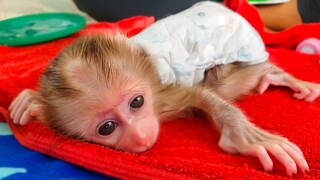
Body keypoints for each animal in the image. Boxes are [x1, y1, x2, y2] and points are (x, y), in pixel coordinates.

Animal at [7, 0, 320, 177]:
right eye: (107, 127)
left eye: (137, 102)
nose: (142, 135)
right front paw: (32, 101)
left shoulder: (164, 93)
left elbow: (202, 95)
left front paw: (244, 136)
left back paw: (284, 78)